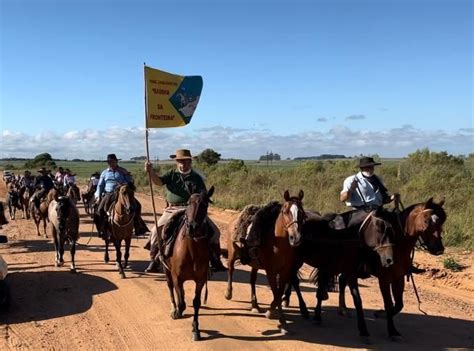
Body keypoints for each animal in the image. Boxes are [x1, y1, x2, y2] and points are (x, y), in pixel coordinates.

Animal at [163, 188, 215, 342]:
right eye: (188, 203)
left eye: (205, 204)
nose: (193, 227)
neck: (192, 251)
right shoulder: (177, 277)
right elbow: (181, 300)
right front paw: (178, 311)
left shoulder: (200, 280)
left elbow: (196, 302)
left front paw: (195, 329)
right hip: (167, 271)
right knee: (171, 288)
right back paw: (174, 309)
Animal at [225, 191, 306, 334]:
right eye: (285, 211)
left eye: (302, 212)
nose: (296, 238)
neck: (278, 243)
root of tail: (234, 219)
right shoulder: (271, 272)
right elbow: (276, 293)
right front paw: (281, 321)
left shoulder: (285, 272)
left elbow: (279, 292)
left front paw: (272, 314)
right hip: (232, 253)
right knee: (230, 269)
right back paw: (229, 293)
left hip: (255, 264)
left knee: (252, 280)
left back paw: (255, 305)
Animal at [338, 198, 446, 338]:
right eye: (426, 221)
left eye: (442, 221)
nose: (438, 249)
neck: (398, 246)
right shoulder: (384, 279)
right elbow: (389, 304)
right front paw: (391, 330)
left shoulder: (398, 278)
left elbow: (398, 305)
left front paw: (381, 314)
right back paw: (343, 309)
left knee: (342, 280)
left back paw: (343, 309)